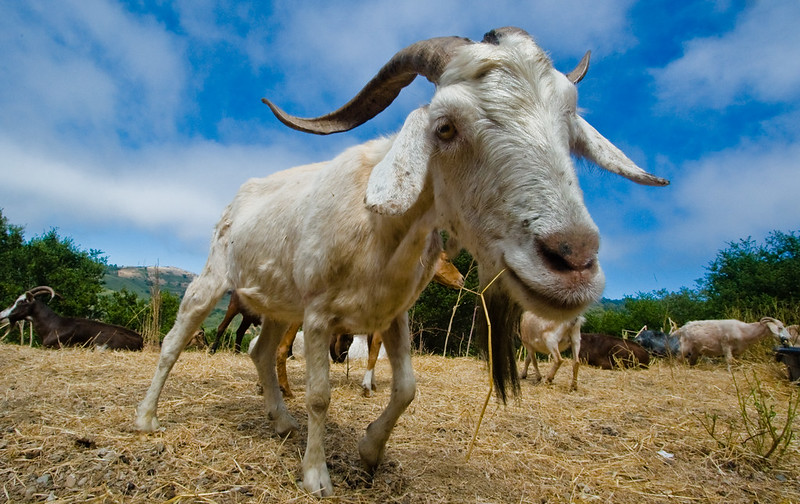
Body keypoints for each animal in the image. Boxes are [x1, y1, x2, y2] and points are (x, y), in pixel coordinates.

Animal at [133, 27, 668, 496]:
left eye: (571, 129)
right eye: (445, 127)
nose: (573, 261)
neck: (377, 231)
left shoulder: (393, 314)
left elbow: (406, 388)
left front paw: (370, 452)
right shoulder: (318, 314)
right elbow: (320, 395)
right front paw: (316, 477)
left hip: (279, 304)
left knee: (261, 352)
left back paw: (282, 422)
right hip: (214, 278)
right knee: (175, 342)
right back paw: (146, 418)